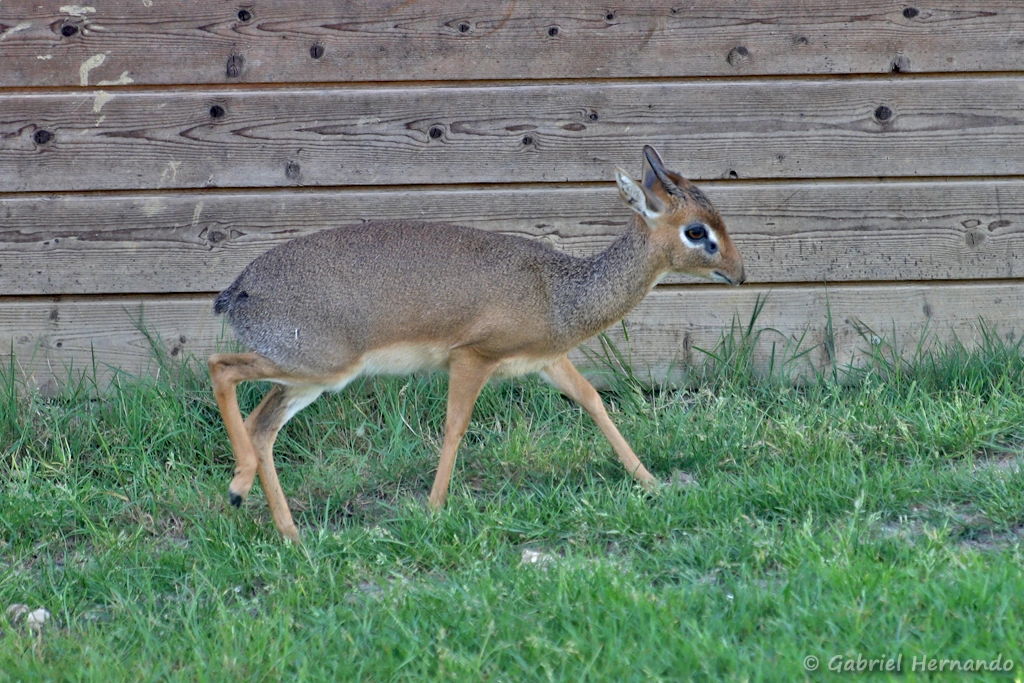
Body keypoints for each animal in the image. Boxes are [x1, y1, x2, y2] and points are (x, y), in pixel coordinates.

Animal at [208, 146, 745, 542]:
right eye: (696, 230)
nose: (740, 274)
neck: (558, 292)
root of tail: (238, 289)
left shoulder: (546, 360)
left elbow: (593, 400)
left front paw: (652, 483)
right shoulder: (472, 357)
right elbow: (454, 428)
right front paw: (433, 509)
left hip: (305, 378)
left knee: (261, 426)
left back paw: (289, 533)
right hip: (317, 367)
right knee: (222, 367)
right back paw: (238, 489)